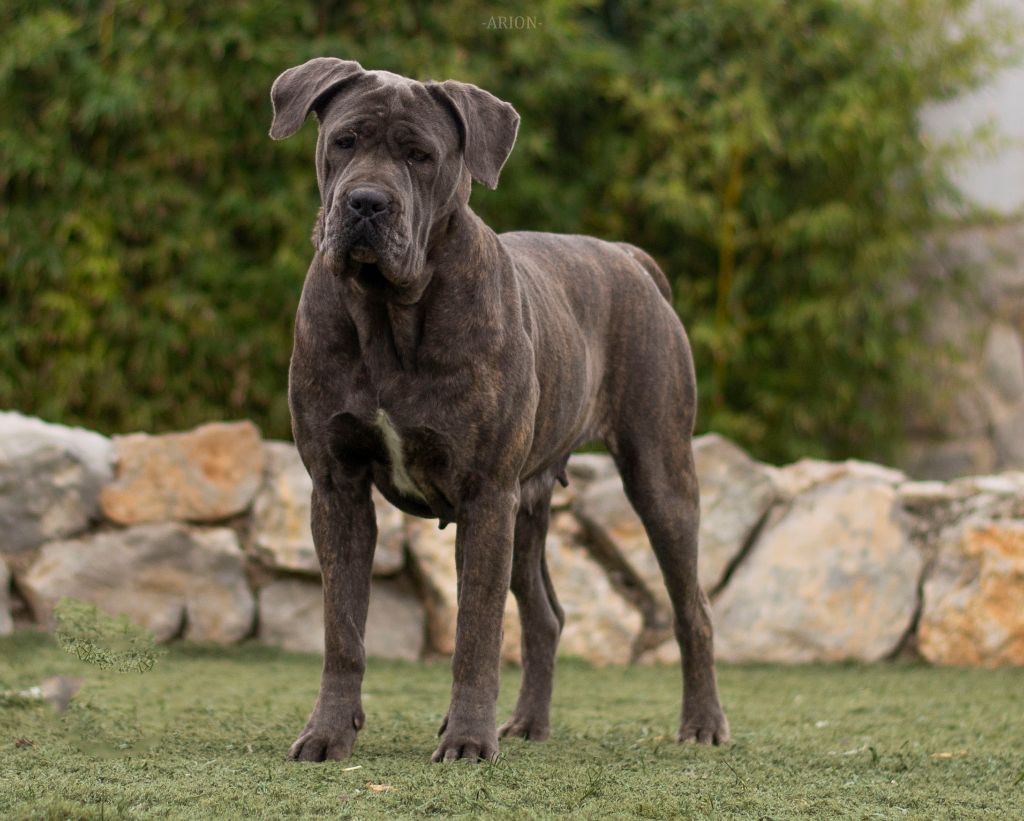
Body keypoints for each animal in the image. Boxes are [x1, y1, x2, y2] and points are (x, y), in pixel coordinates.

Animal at [269, 58, 729, 763]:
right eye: (344, 141)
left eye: (421, 155)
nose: (367, 202)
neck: (388, 311)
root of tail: (629, 257)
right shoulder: (337, 486)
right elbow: (342, 628)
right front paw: (327, 733)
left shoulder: (485, 494)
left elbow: (477, 630)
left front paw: (465, 740)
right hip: (529, 504)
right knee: (546, 616)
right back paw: (529, 723)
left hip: (659, 475)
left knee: (692, 609)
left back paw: (701, 724)